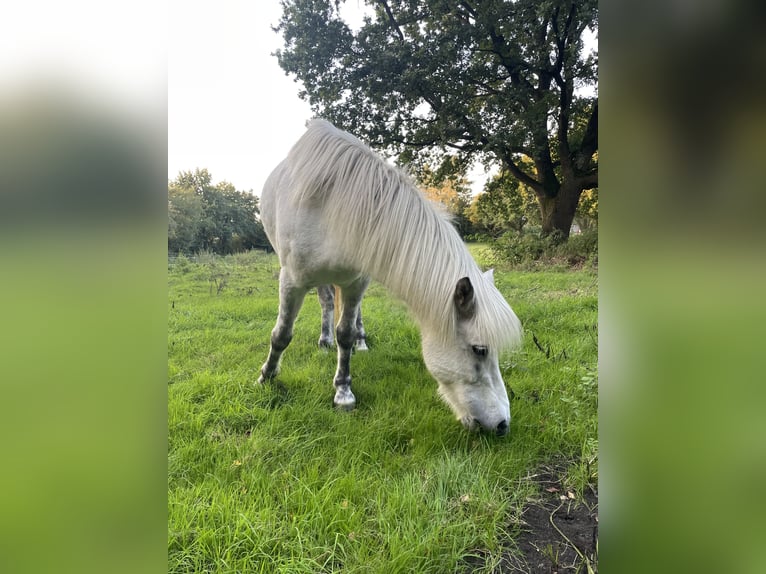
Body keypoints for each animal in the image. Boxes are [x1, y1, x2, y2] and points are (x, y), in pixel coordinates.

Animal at [258, 119, 522, 435]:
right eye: (480, 349)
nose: (503, 424)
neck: (332, 206)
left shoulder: (356, 281)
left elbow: (345, 333)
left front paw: (343, 392)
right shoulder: (292, 280)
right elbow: (282, 333)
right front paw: (267, 375)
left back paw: (359, 342)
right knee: (325, 302)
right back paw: (323, 341)